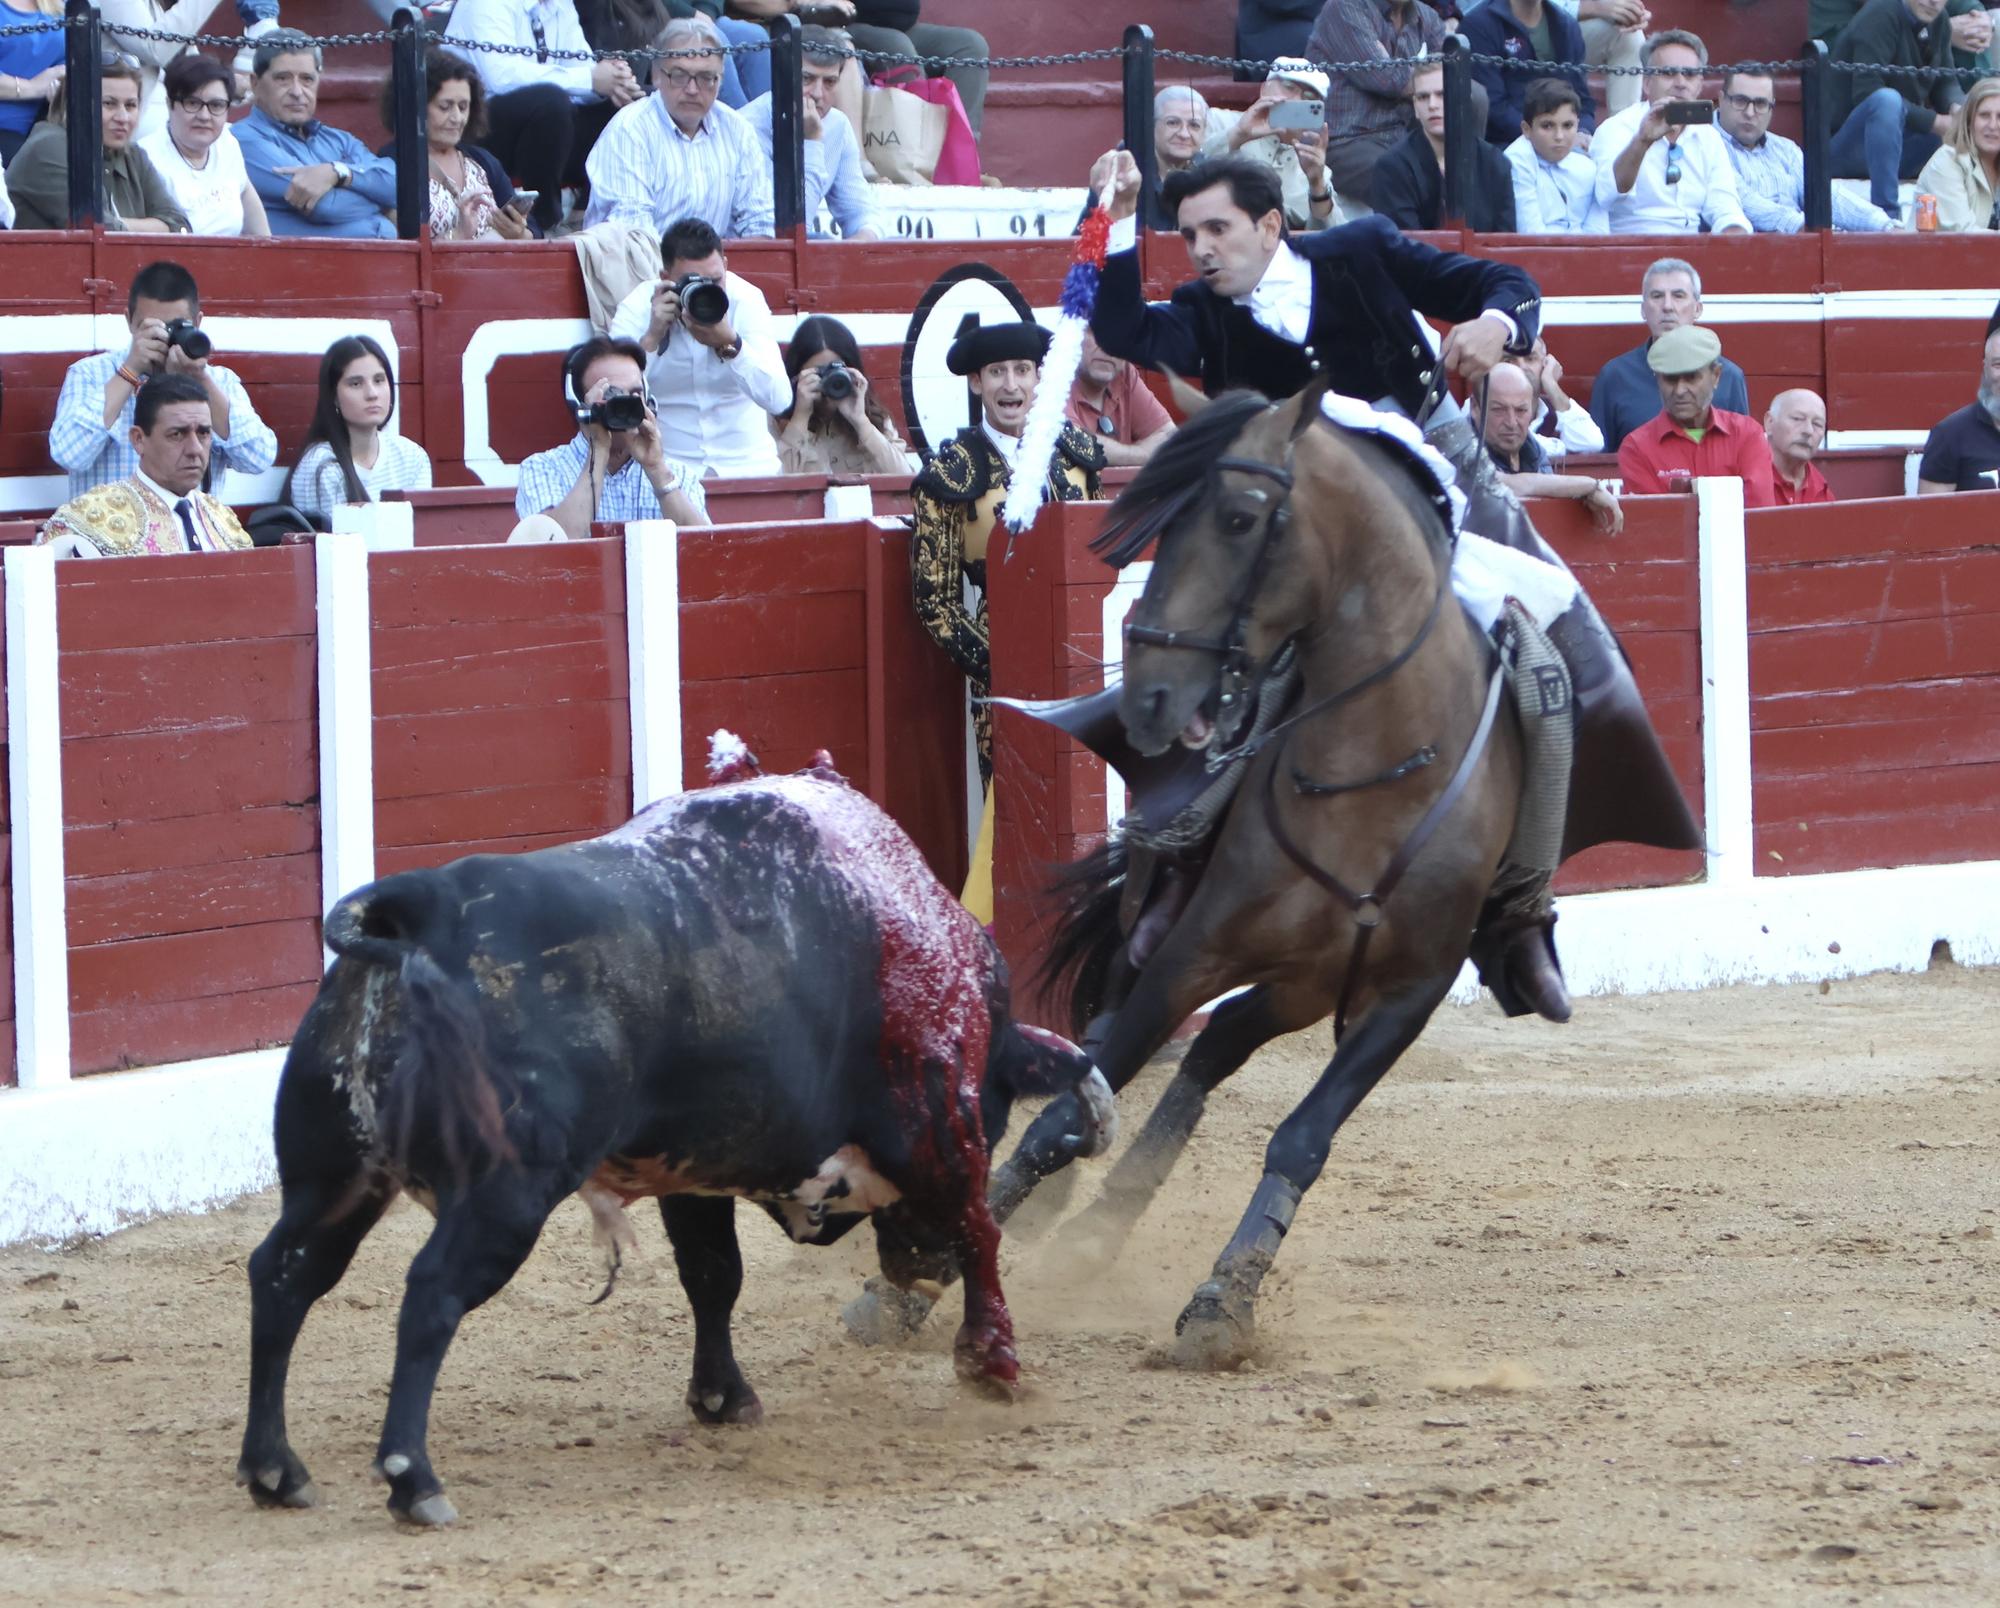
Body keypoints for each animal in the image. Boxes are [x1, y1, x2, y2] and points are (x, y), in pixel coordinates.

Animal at [236, 748, 1120, 1528]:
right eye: (999, 1106)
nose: (912, 1270)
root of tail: (422, 904)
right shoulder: (939, 1122)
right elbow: (981, 1226)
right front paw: (993, 1364)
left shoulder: (694, 1173)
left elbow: (713, 1276)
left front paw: (723, 1397)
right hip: (504, 1194)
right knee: (429, 1297)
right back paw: (413, 1480)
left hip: (337, 1177)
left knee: (283, 1275)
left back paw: (276, 1470)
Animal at [988, 380, 1528, 1368]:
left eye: (1239, 517)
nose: (1152, 695)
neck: (1376, 775)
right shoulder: (1190, 952)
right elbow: (1073, 1108)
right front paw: (903, 1294)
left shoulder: (1407, 994)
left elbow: (1302, 1139)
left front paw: (1222, 1303)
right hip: (1177, 932)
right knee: (1112, 1037)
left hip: (1305, 985)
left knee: (1215, 1045)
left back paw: (1097, 1232)